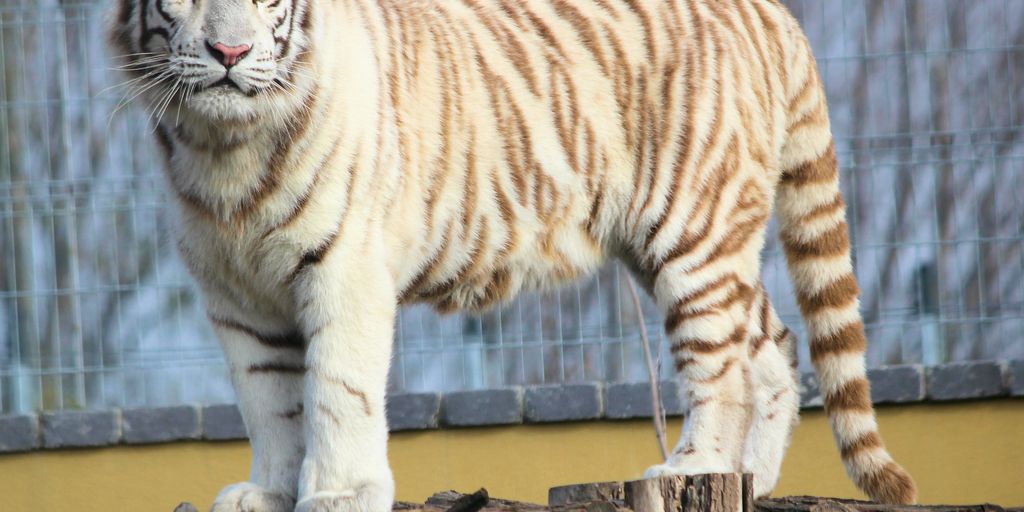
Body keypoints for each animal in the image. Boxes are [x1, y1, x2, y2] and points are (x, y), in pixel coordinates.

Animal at [107, 0, 917, 510]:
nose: (231, 53)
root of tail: (774, 12)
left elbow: (336, 391)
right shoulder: (235, 295)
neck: (224, 147)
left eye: (265, 0)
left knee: (725, 365)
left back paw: (700, 465)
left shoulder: (345, 270)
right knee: (775, 347)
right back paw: (753, 478)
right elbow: (270, 401)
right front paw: (269, 492)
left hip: (694, 228)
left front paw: (338, 494)